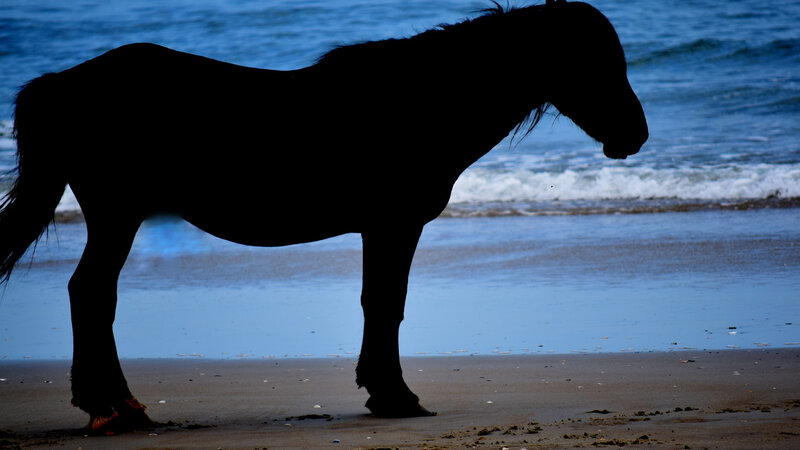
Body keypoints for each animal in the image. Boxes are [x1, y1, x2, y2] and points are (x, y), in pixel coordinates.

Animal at [0, 0, 647, 433]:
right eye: (593, 60)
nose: (634, 135)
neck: (421, 103)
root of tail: (61, 84)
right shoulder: (393, 225)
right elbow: (385, 304)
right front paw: (395, 396)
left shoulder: (386, 228)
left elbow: (380, 304)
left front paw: (384, 392)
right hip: (118, 214)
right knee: (91, 293)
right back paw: (110, 406)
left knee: (91, 294)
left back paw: (118, 406)